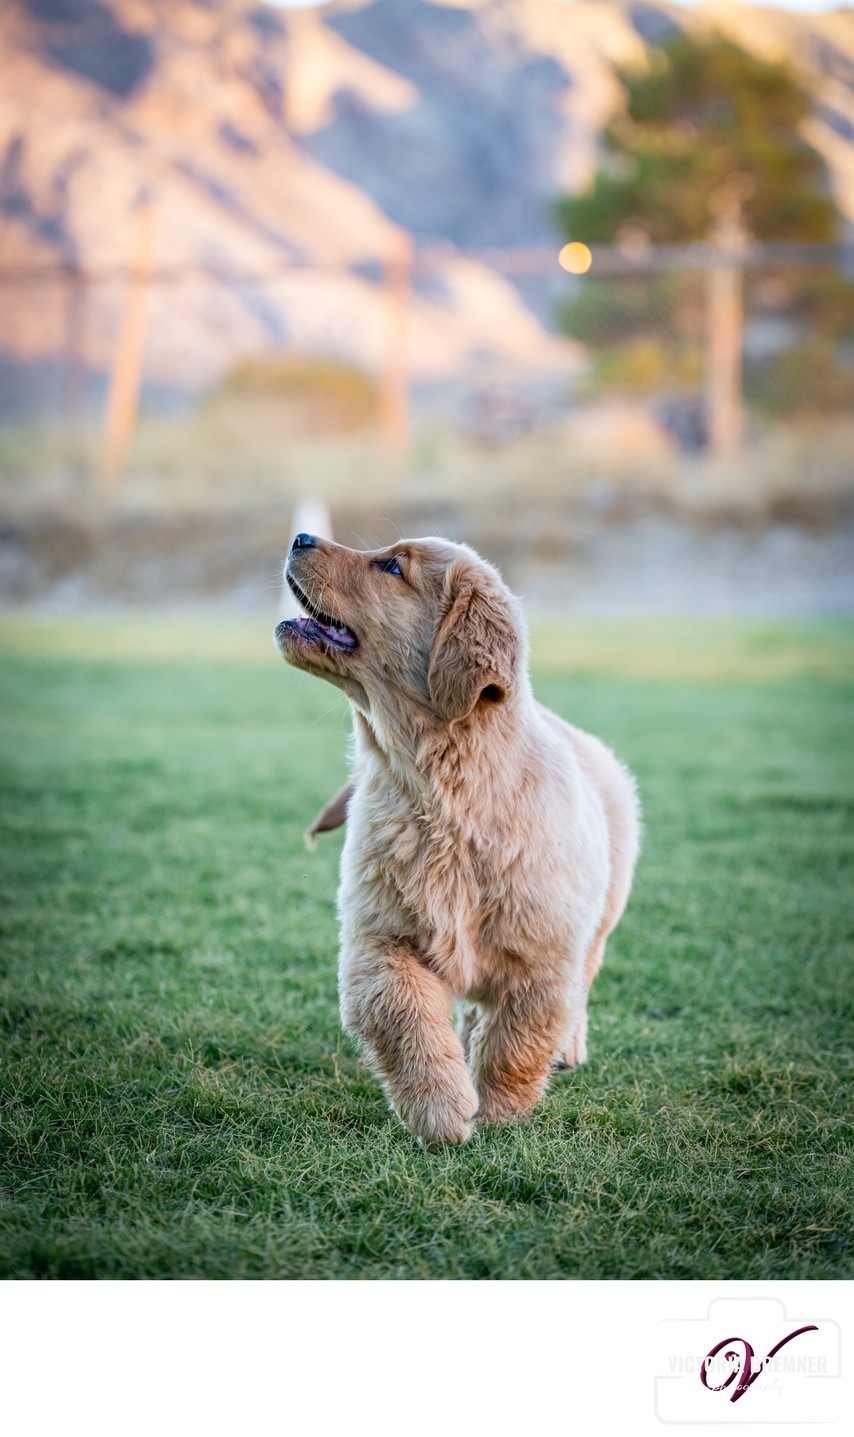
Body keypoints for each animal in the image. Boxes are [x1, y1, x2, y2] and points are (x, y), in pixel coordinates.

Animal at [273, 534, 638, 1149]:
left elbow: (517, 1043)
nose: (300, 537)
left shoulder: (542, 959)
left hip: (602, 918)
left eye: (391, 566)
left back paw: (565, 1048)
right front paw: (442, 1110)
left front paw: (499, 1112)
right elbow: (407, 1020)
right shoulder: (380, 943)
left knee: (578, 988)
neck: (440, 793)